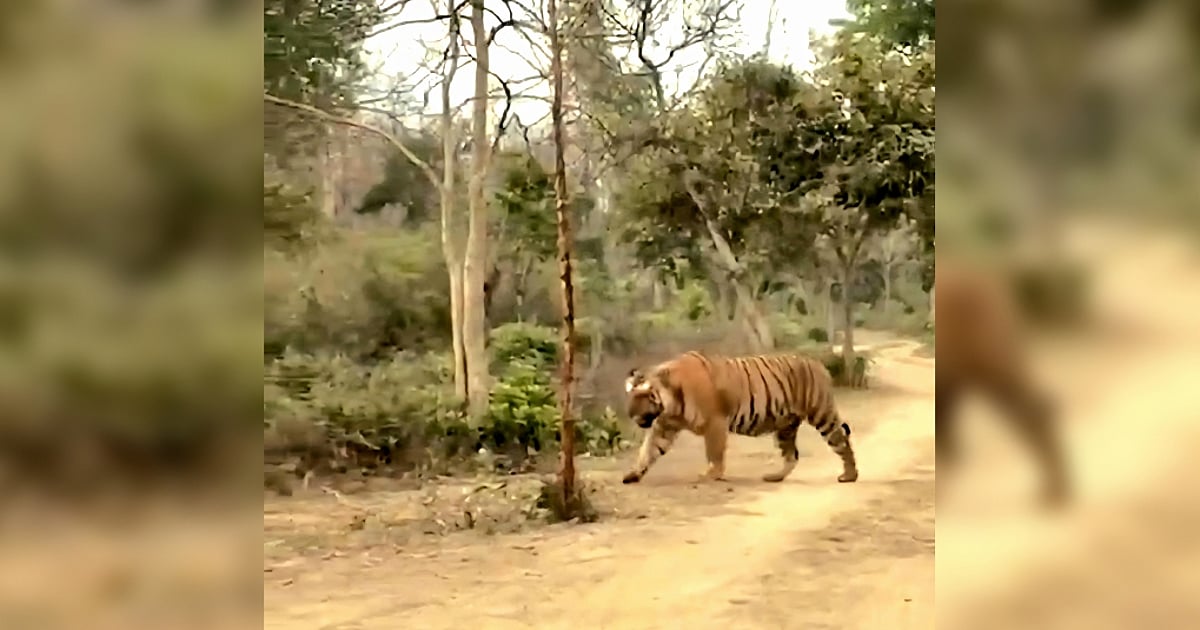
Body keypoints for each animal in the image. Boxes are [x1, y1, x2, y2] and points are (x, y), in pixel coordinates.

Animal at [621, 351, 858, 485]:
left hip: (821, 414)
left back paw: (849, 476)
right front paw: (633, 474)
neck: (670, 403)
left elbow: (714, 453)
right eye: (630, 395)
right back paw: (774, 477)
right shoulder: (664, 425)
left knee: (841, 440)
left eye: (645, 395)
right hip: (786, 426)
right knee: (792, 455)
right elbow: (648, 450)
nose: (631, 415)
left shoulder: (715, 422)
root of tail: (819, 364)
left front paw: (712, 475)